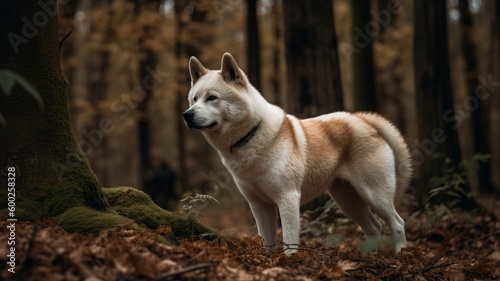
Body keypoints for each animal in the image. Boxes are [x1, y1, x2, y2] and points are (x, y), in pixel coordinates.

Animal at [182, 52, 412, 254]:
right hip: (347, 199)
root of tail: (363, 119)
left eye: (212, 98)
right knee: (375, 228)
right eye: (194, 99)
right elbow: (267, 242)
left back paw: (400, 254)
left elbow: (289, 241)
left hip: (374, 194)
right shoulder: (259, 205)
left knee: (398, 223)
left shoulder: (288, 198)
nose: (186, 115)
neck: (251, 134)